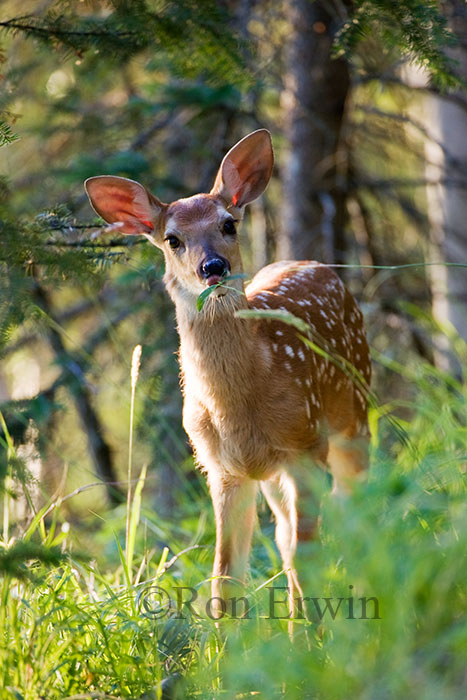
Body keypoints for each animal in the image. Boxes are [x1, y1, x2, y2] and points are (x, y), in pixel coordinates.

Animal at [84, 129, 371, 621]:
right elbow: (226, 579)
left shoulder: (305, 446)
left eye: (228, 224)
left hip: (354, 419)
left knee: (356, 508)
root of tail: (314, 264)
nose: (213, 267)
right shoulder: (223, 470)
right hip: (273, 476)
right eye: (172, 239)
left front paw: (319, 636)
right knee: (287, 538)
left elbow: (306, 557)